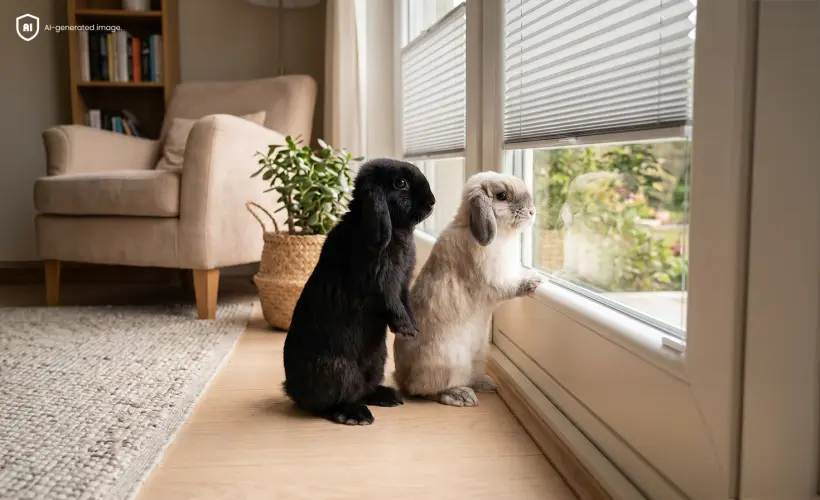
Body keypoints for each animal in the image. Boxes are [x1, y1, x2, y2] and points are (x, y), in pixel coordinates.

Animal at [283, 158, 435, 425]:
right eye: (400, 183)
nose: (432, 201)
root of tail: (291, 389)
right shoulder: (379, 284)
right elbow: (392, 303)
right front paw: (407, 329)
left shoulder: (403, 283)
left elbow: (405, 302)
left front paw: (414, 328)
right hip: (338, 371)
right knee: (329, 403)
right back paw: (356, 415)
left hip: (377, 362)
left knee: (364, 389)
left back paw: (388, 396)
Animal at [393, 171, 542, 407]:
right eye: (502, 196)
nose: (532, 211)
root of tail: (402, 378)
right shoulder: (496, 280)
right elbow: (511, 286)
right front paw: (533, 280)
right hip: (448, 363)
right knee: (425, 392)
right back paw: (461, 395)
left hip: (479, 355)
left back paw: (486, 384)